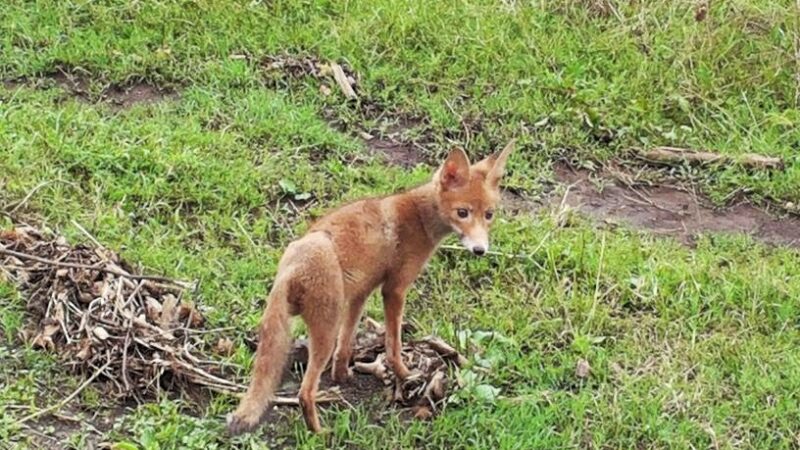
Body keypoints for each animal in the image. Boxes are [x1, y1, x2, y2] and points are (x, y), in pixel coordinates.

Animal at [227, 139, 512, 434]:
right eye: (462, 213)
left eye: (489, 215)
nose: (480, 250)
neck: (420, 218)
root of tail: (290, 267)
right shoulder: (395, 289)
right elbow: (393, 345)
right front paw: (405, 375)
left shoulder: (360, 293)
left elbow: (345, 345)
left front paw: (343, 376)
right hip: (325, 331)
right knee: (304, 392)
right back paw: (320, 432)